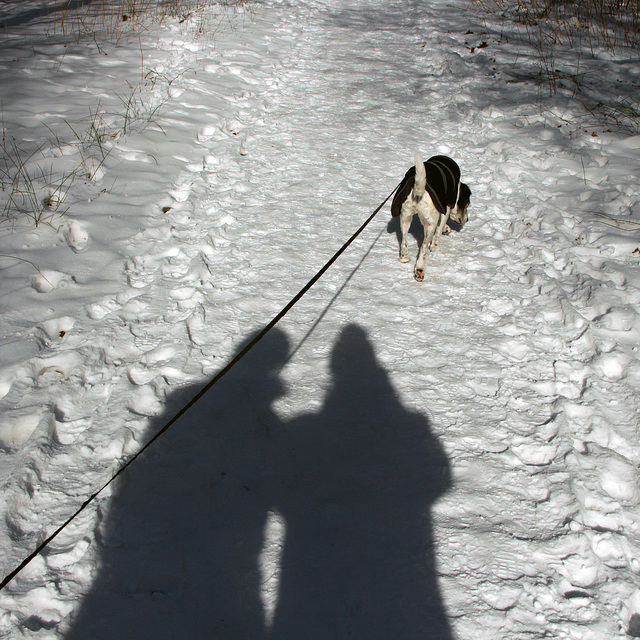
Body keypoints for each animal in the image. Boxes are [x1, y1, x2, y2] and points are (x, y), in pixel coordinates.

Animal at [390, 152, 470, 282]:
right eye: (467, 204)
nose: (467, 219)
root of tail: (418, 188)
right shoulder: (446, 208)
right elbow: (439, 230)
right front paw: (435, 247)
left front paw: (446, 229)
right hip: (429, 225)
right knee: (423, 249)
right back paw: (420, 270)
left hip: (405, 217)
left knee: (404, 242)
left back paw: (404, 258)